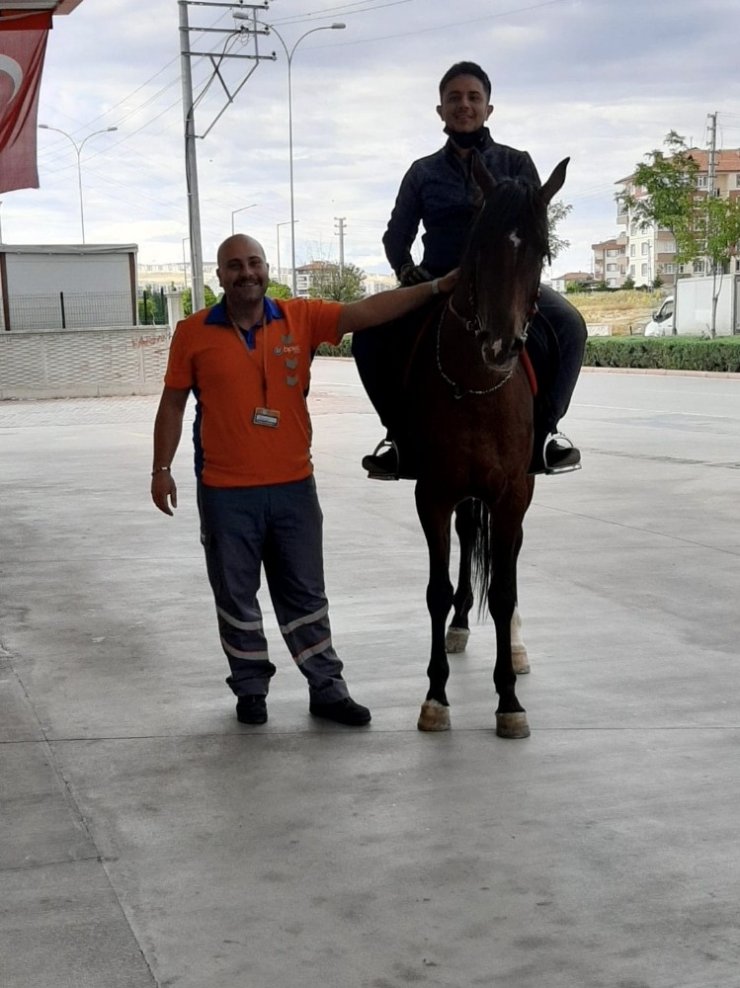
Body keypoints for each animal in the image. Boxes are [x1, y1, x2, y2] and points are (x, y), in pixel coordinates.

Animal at [404, 154, 568, 736]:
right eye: (480, 246)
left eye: (541, 251)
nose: (501, 346)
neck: (476, 385)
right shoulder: (432, 493)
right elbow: (434, 591)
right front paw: (435, 696)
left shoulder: (512, 493)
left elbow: (502, 589)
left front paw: (509, 698)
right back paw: (459, 625)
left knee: (508, 561)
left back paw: (515, 646)